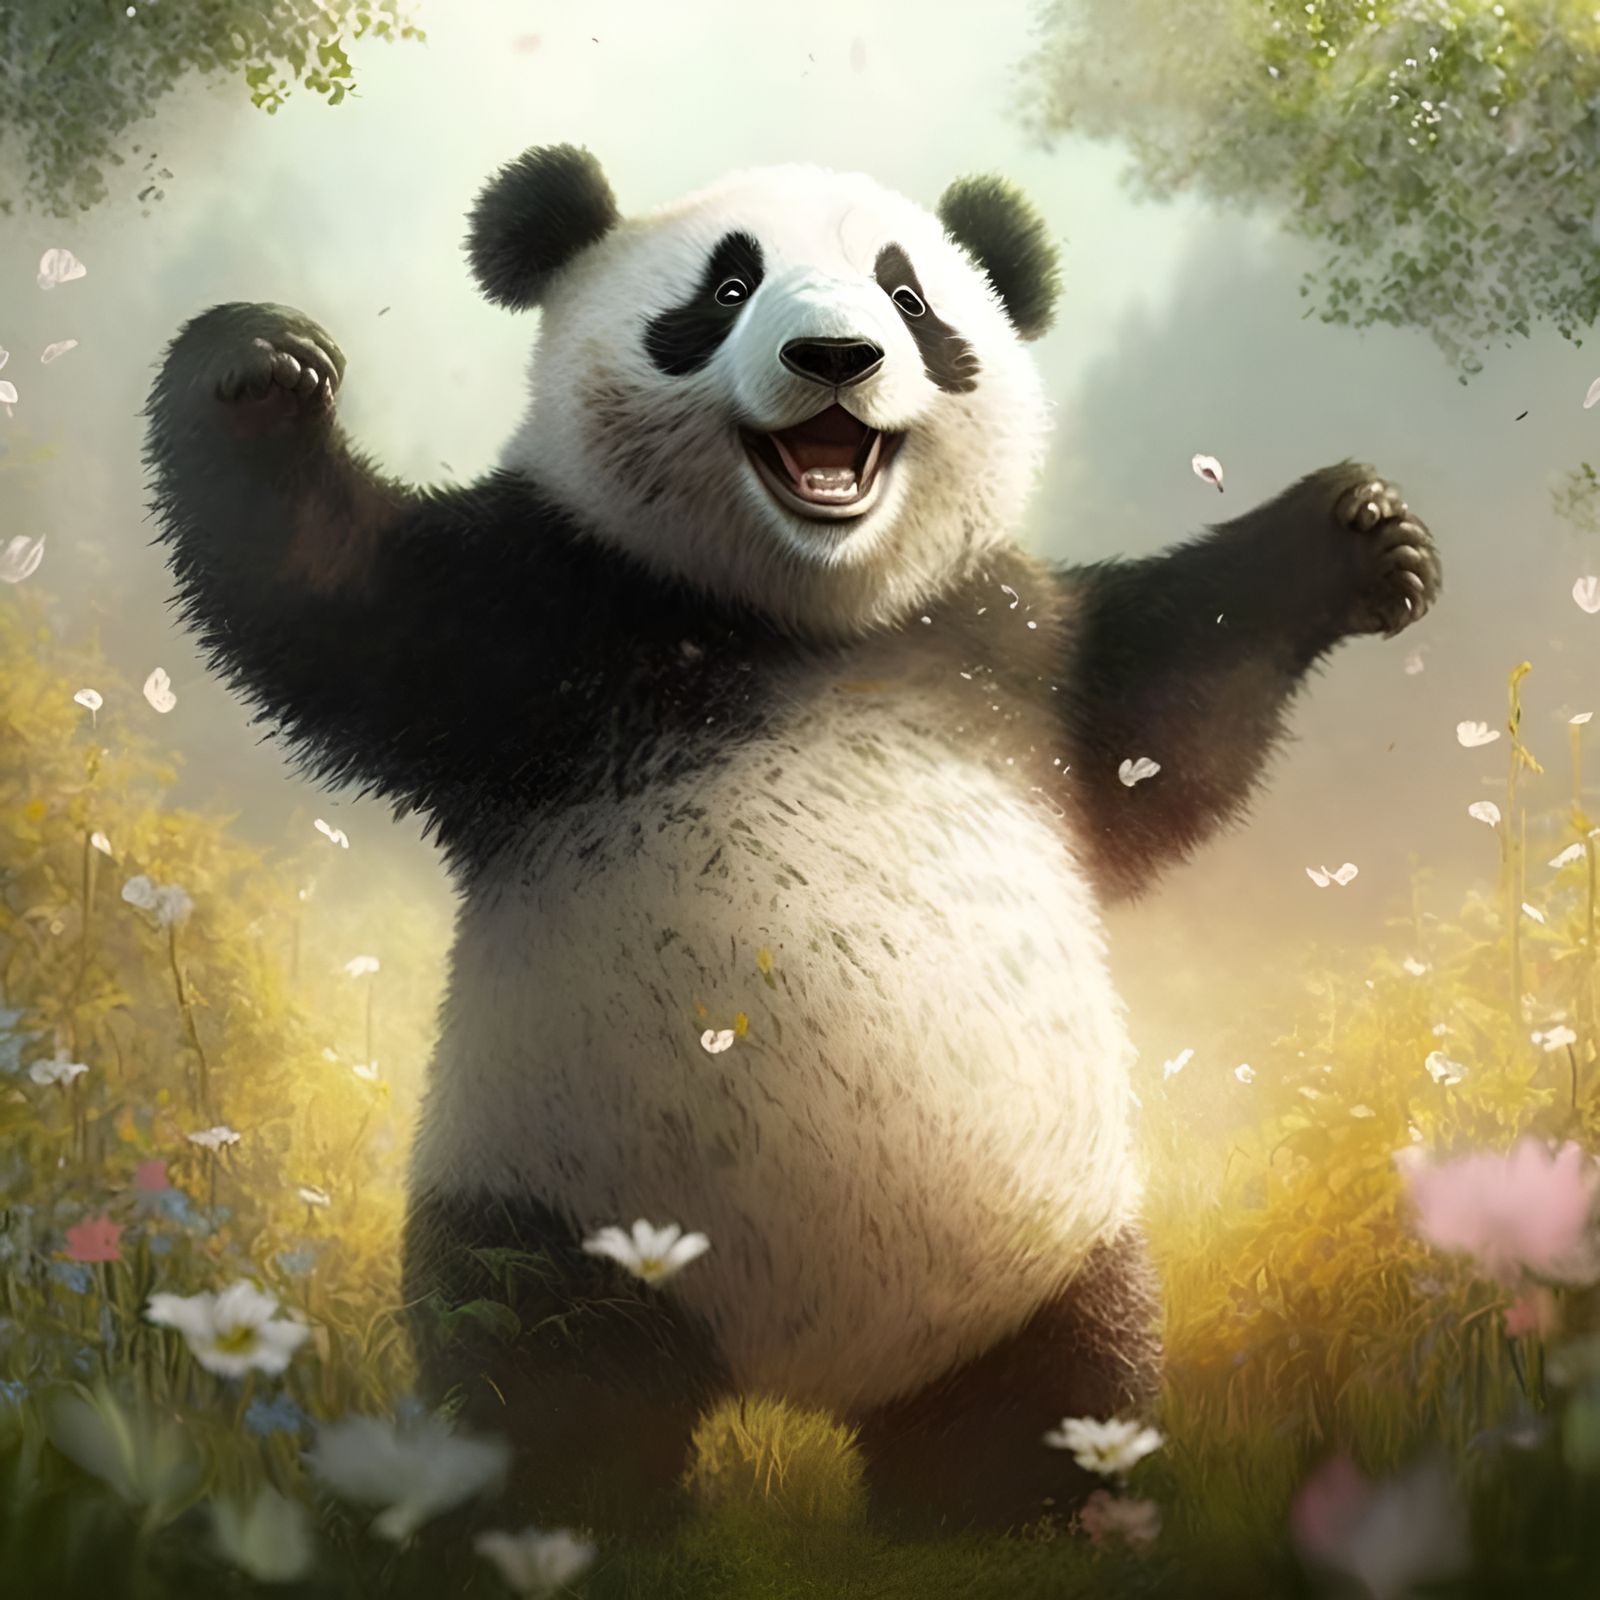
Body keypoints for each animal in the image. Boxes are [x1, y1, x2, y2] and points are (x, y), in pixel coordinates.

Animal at [144, 144, 1440, 1536]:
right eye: (724, 288)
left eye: (911, 299)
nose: (835, 356)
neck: (806, 613)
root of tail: (792, 1371)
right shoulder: (544, 606)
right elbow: (330, 601)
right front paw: (261, 366)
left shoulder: (1013, 647)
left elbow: (1171, 711)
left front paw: (1363, 532)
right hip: (555, 1189)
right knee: (540, 1362)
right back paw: (560, 1516)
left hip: (1038, 1240)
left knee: (1057, 1377)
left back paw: (1021, 1516)